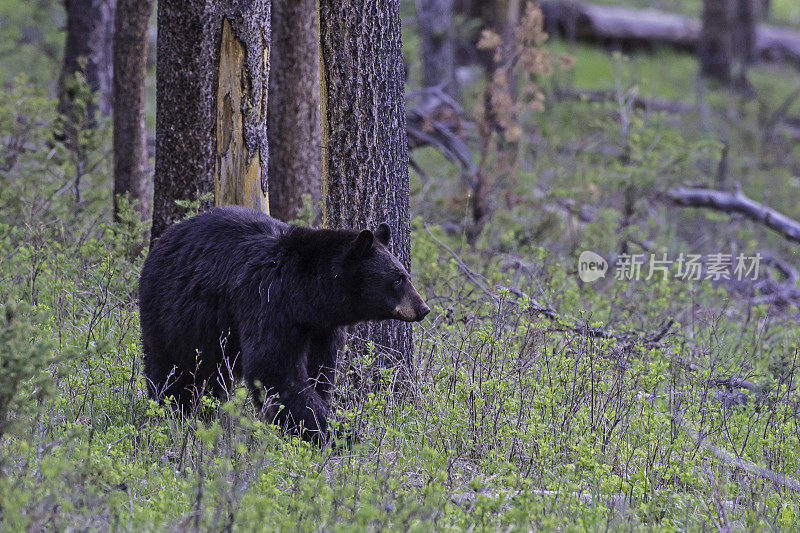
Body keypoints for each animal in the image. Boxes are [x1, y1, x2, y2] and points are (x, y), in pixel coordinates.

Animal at [142, 206, 432, 442]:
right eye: (397, 279)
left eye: (406, 274)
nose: (423, 308)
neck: (307, 294)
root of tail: (163, 239)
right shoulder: (268, 302)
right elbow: (275, 369)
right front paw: (335, 433)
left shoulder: (322, 328)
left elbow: (321, 368)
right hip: (173, 314)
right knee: (174, 369)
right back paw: (174, 410)